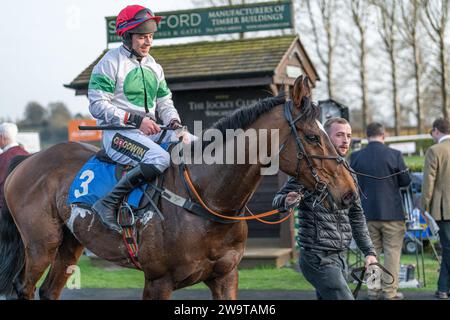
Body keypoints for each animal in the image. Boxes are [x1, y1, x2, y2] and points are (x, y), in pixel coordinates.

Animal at [0, 75, 356, 300]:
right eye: (312, 136)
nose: (349, 191)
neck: (207, 198)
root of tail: (28, 160)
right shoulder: (158, 282)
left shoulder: (226, 276)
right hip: (40, 245)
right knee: (24, 288)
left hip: (70, 243)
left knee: (49, 290)